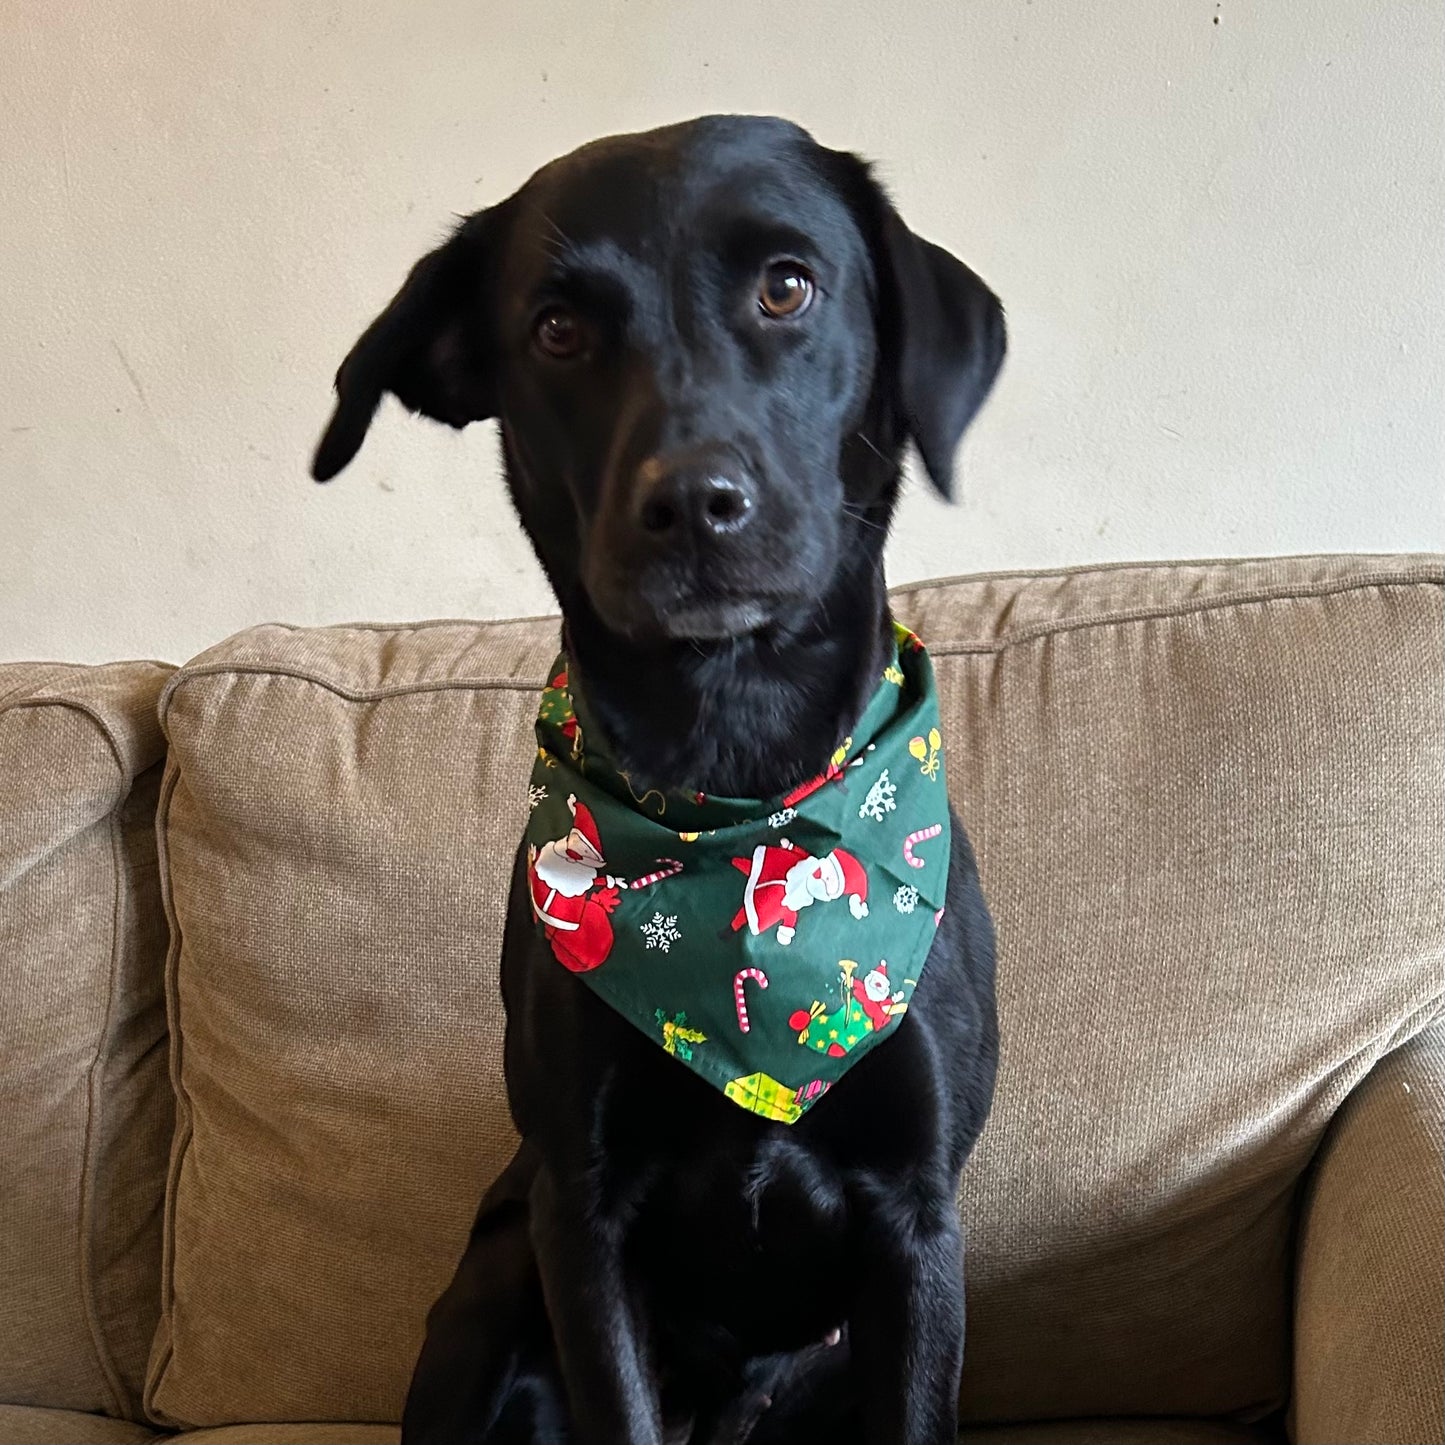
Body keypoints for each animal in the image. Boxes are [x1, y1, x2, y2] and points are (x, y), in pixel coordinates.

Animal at [310, 115, 999, 1445]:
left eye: (786, 285)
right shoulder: (581, 1215)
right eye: (555, 329)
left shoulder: (914, 1217)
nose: (689, 502)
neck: (736, 794)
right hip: (492, 1284)